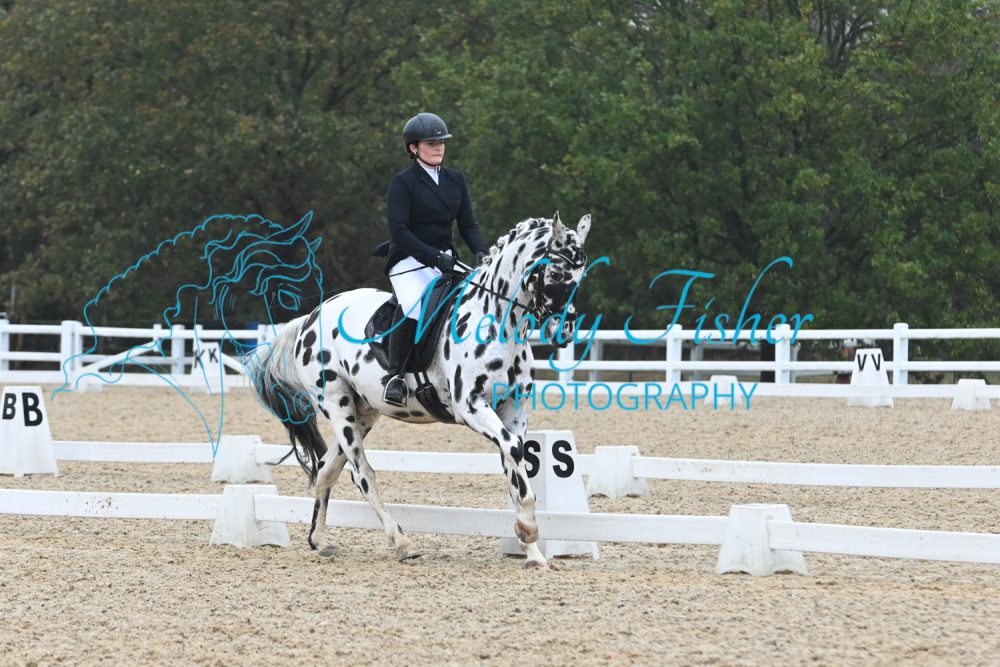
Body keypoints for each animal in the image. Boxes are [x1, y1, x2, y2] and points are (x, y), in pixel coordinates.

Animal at [249, 212, 593, 569]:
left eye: (580, 275)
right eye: (556, 272)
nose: (563, 333)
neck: (498, 322)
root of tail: (310, 317)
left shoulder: (513, 409)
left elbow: (516, 464)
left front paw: (533, 551)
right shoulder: (470, 406)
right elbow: (512, 451)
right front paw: (528, 531)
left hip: (364, 410)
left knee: (326, 469)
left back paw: (320, 540)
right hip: (336, 403)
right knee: (362, 474)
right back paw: (402, 542)